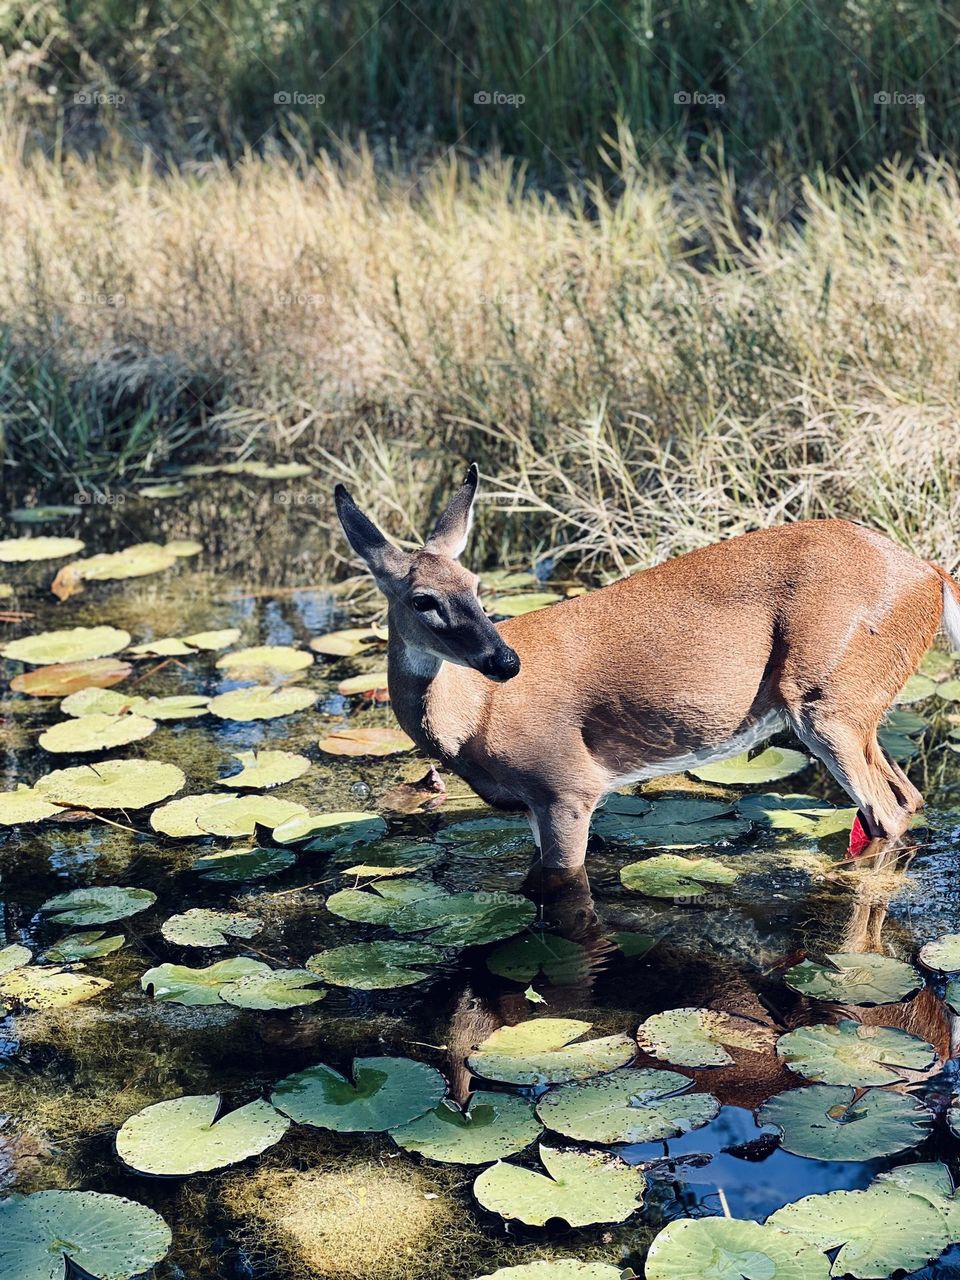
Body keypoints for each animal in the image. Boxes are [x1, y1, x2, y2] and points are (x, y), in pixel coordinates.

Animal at [334, 464, 960, 874]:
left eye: (476, 585)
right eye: (423, 600)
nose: (504, 660)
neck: (475, 720)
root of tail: (932, 573)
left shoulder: (566, 785)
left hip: (826, 699)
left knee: (885, 812)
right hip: (859, 703)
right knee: (908, 797)